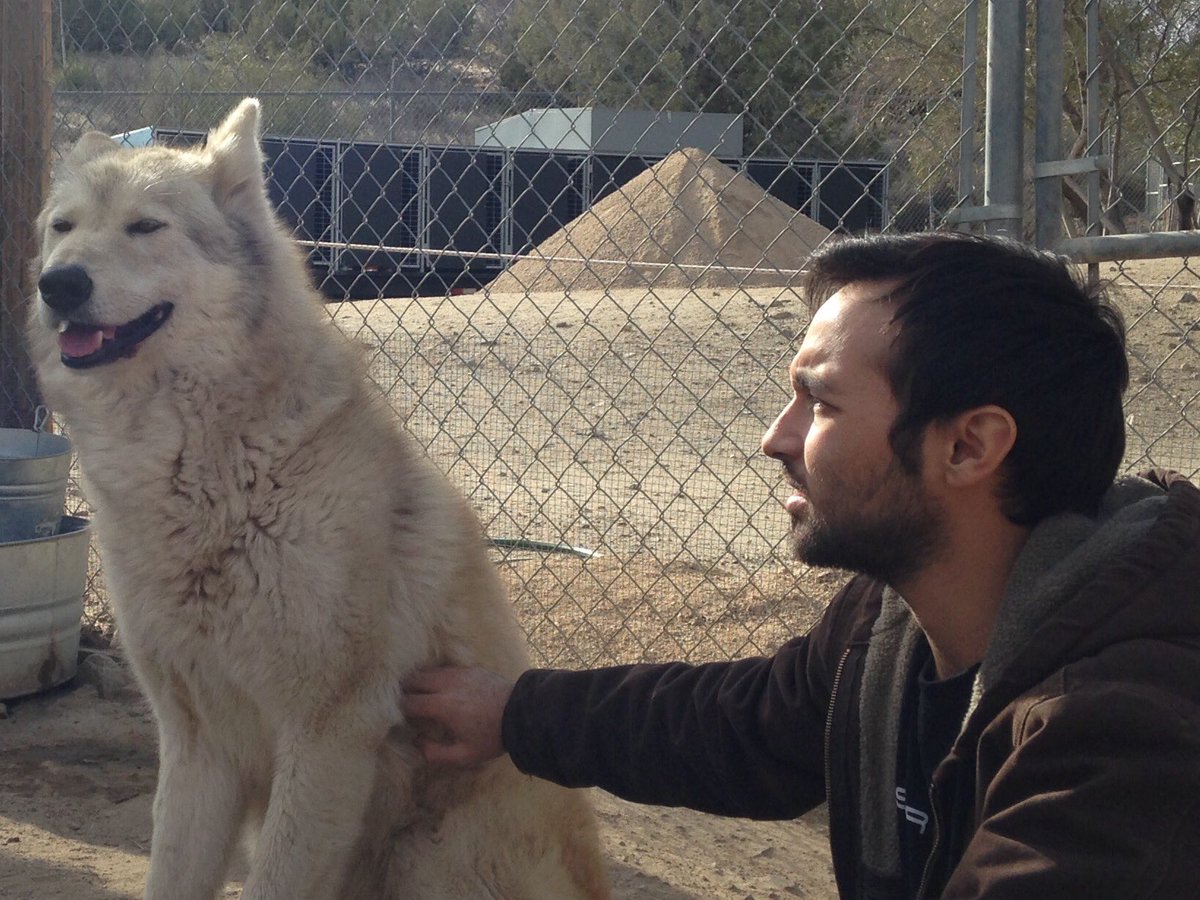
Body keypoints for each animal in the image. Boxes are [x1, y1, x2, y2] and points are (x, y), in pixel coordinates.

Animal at [27, 98, 609, 900]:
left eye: (145, 226)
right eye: (63, 227)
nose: (60, 285)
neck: (212, 476)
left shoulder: (328, 737)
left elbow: (276, 880)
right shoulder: (196, 744)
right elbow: (171, 874)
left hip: (423, 857)